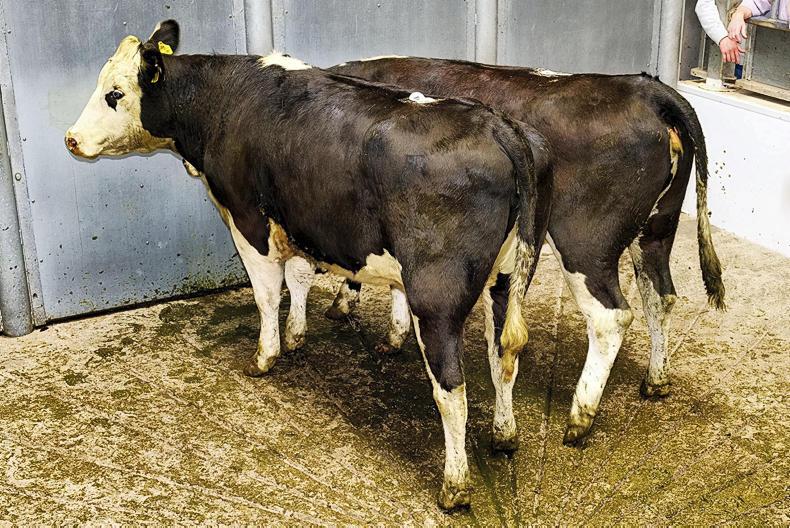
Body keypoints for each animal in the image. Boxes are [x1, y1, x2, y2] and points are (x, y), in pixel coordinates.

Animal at [64, 21, 553, 510]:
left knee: (452, 388)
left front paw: (266, 355)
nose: (70, 138)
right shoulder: (300, 218)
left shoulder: (249, 220)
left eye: (113, 93)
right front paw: (298, 333)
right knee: (502, 354)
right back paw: (504, 434)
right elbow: (299, 275)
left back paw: (454, 485)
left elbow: (267, 293)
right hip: (506, 278)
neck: (224, 98)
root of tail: (500, 125)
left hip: (437, 297)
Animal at [278, 56, 726, 447]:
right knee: (660, 295)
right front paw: (392, 332)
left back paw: (578, 419)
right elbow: (397, 285)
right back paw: (655, 380)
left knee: (611, 316)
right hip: (657, 228)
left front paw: (343, 305)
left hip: (585, 242)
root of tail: (648, 89)